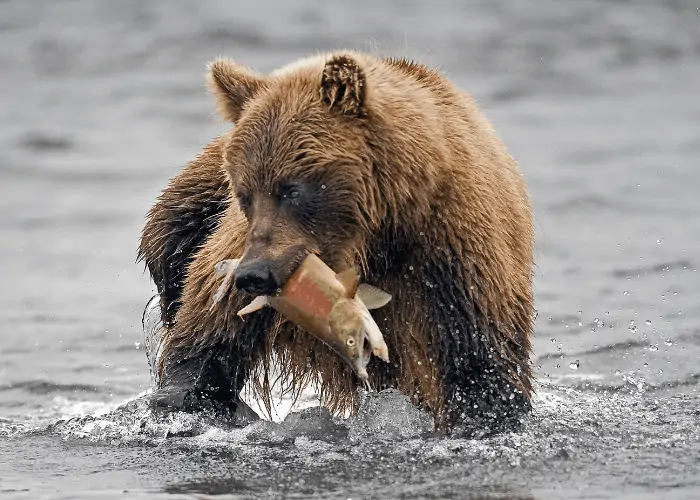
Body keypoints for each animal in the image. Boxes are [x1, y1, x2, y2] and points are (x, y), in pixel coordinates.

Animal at [138, 50, 536, 434]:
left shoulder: (455, 250)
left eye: (292, 189)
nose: (255, 275)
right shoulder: (244, 250)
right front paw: (187, 397)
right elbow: (210, 333)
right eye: (244, 193)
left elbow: (481, 361)